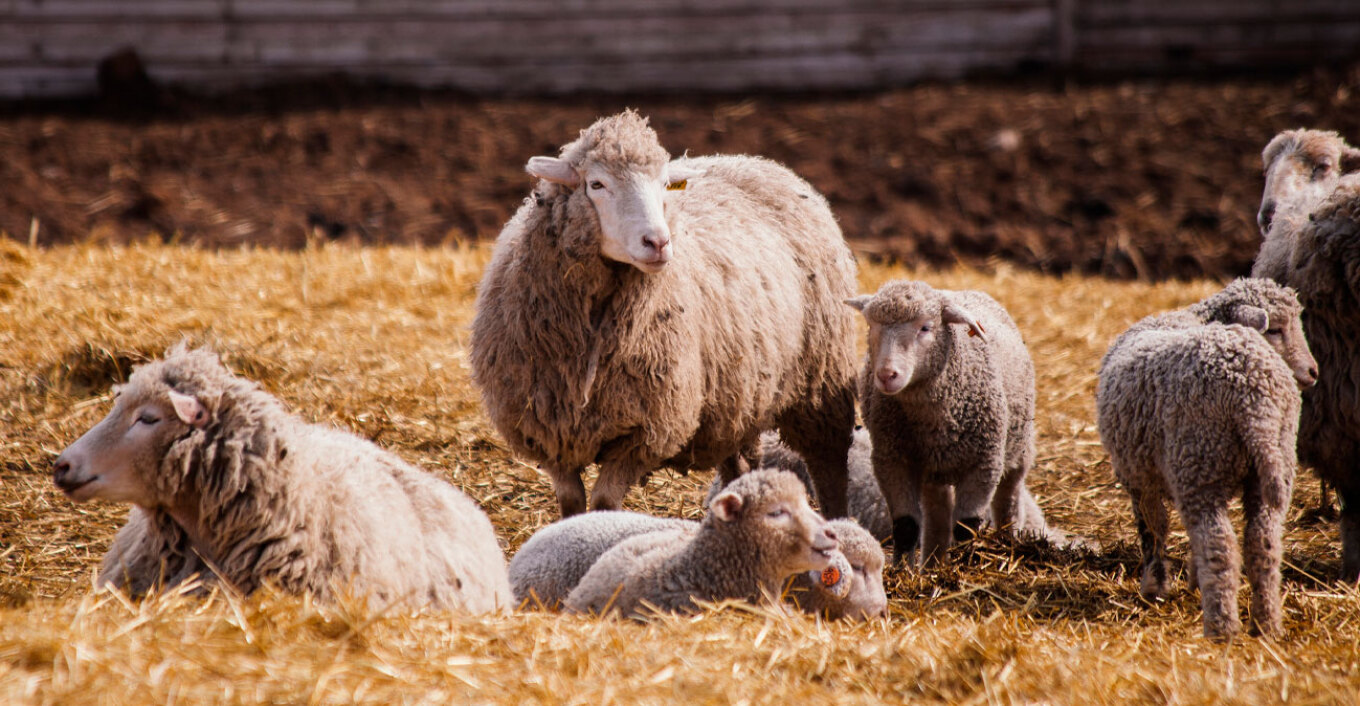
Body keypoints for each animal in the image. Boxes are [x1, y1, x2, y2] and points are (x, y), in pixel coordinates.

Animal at [469, 110, 859, 520]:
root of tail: (758, 161)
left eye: (663, 187)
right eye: (596, 184)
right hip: (737, 399)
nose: (658, 242)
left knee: (829, 466)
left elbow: (605, 504)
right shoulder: (548, 432)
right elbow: (572, 504)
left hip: (821, 382)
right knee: (740, 465)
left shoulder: (644, 433)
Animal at [846, 280, 1036, 567]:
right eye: (871, 326)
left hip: (1018, 446)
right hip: (932, 471)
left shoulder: (984, 464)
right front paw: (902, 570)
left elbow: (967, 528)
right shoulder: (892, 461)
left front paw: (964, 566)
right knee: (938, 516)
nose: (887, 375)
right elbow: (906, 525)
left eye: (925, 327)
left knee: (1009, 499)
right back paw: (931, 564)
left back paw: (1008, 538)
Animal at [1097, 281, 1316, 638]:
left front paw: (1154, 586)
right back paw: (1266, 623)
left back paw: (1221, 626)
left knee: (1218, 542)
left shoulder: (1137, 476)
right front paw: (1190, 578)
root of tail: (1255, 398)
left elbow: (1153, 528)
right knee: (1263, 544)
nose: (1313, 372)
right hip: (1271, 463)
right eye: (1276, 329)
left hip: (1198, 462)